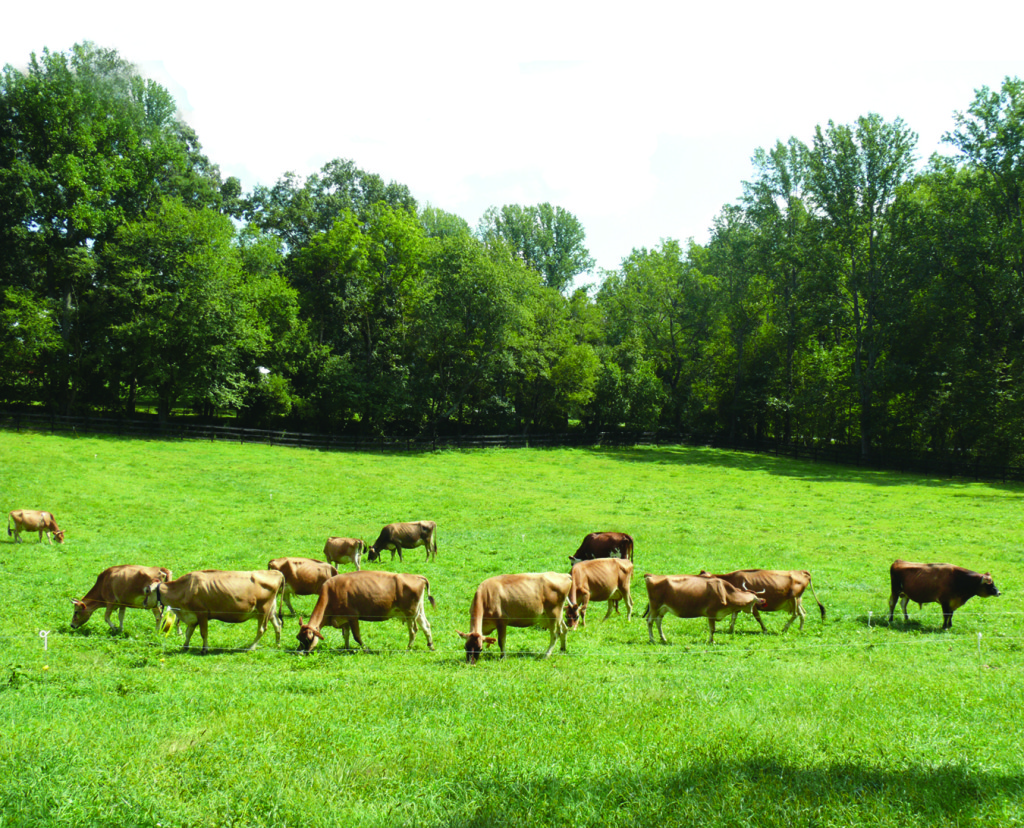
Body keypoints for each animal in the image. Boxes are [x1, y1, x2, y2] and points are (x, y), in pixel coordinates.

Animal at [141, 569, 284, 650]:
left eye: (147, 591)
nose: (143, 603)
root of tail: (276, 573)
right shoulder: (192, 616)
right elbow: (188, 632)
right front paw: (185, 646)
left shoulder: (202, 614)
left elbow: (203, 633)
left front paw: (205, 648)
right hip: (271, 610)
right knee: (278, 625)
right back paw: (277, 644)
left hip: (263, 610)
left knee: (262, 629)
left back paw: (251, 647)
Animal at [294, 569, 434, 650]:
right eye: (298, 637)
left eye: (307, 639)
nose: (300, 652)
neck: (330, 593)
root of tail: (417, 577)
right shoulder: (343, 619)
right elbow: (346, 635)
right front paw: (346, 648)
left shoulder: (352, 617)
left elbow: (356, 636)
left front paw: (365, 648)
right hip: (419, 612)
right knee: (426, 626)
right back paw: (430, 646)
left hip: (410, 613)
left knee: (414, 630)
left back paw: (408, 647)